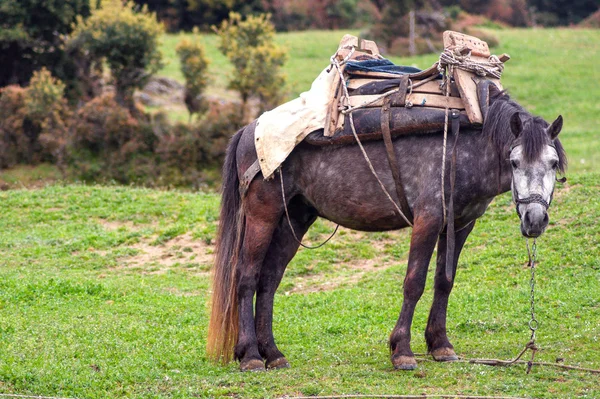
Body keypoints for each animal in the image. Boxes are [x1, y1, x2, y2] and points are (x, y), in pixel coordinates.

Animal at [206, 86, 568, 372]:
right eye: (514, 162)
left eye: (552, 164)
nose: (535, 219)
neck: (462, 144)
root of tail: (248, 130)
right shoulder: (428, 220)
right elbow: (414, 283)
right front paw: (402, 351)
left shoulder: (461, 225)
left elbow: (444, 282)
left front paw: (440, 345)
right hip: (262, 215)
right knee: (247, 277)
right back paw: (251, 356)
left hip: (295, 217)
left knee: (269, 280)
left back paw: (273, 353)